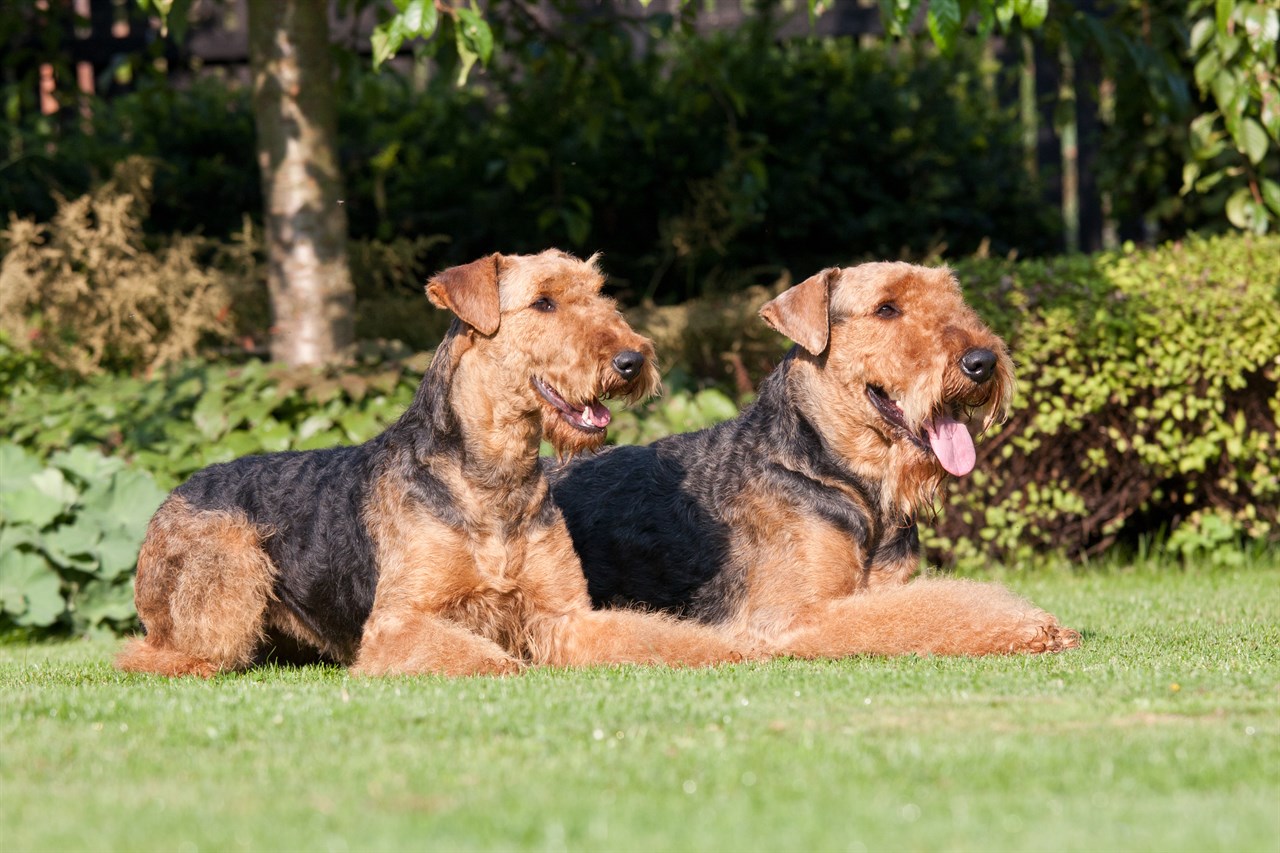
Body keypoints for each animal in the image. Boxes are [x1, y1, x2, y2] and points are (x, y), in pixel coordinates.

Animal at [117, 249, 747, 676]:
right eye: (543, 301)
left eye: (598, 294)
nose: (632, 360)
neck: (494, 481)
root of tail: (171, 495)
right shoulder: (398, 623)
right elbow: (489, 660)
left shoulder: (567, 614)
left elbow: (657, 635)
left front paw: (735, 648)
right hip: (226, 585)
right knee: (146, 653)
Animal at [552, 262, 1080, 653]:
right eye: (886, 308)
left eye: (954, 301)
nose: (982, 362)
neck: (843, 477)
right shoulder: (791, 616)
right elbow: (926, 610)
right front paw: (1033, 625)